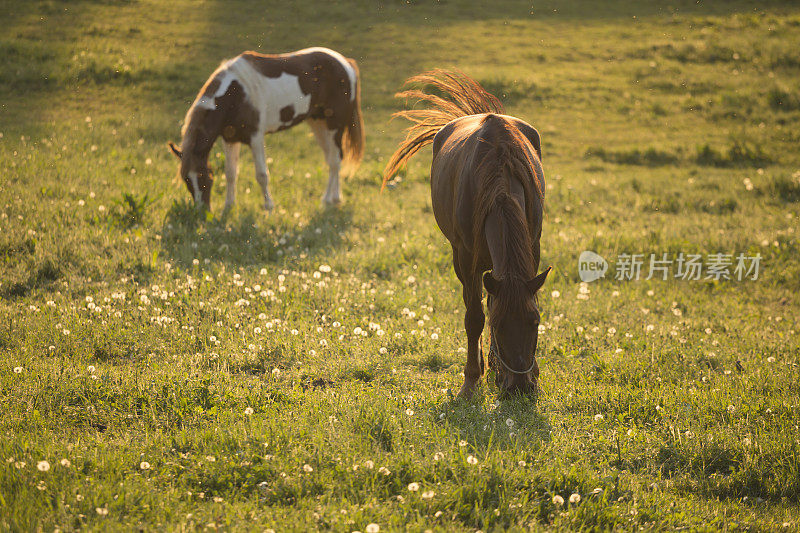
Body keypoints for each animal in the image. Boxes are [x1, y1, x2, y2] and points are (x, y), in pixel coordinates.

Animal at [170, 47, 368, 210]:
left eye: (206, 177)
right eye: (186, 179)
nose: (202, 212)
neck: (236, 93)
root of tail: (345, 62)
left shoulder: (256, 138)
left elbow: (261, 174)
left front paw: (269, 207)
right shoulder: (230, 139)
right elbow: (230, 173)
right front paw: (229, 206)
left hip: (335, 125)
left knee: (335, 159)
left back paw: (328, 200)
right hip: (318, 124)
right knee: (333, 159)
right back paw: (335, 198)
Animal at [382, 69, 552, 394]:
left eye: (535, 322)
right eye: (498, 325)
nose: (520, 387)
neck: (499, 180)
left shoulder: (532, 247)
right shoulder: (466, 259)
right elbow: (474, 317)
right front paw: (472, 379)